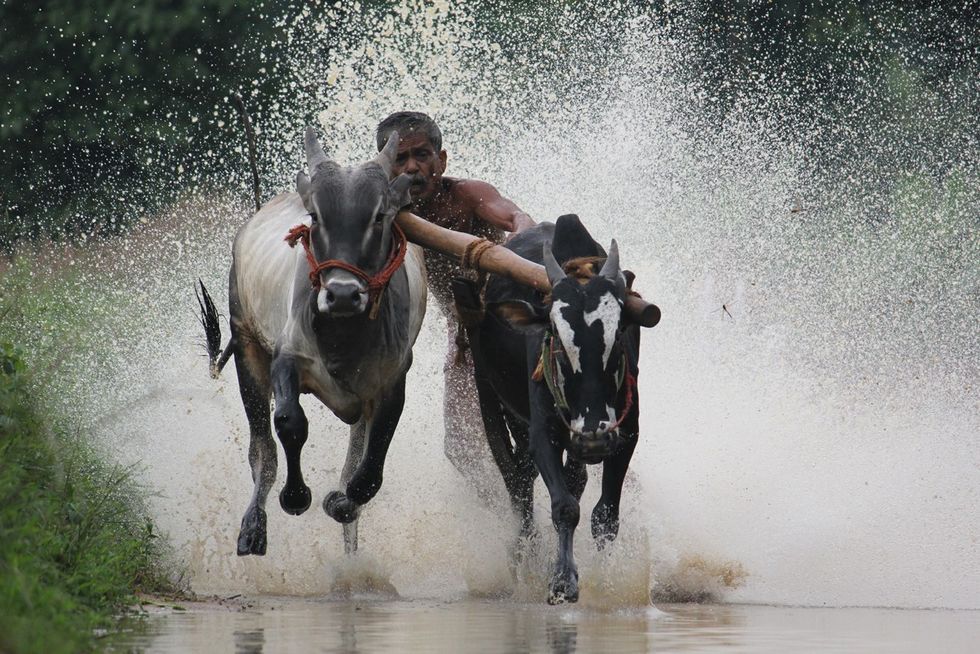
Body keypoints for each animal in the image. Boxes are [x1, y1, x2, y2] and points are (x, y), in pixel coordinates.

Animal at [197, 127, 426, 556]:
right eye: (316, 216)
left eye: (379, 216)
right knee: (261, 450)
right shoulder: (287, 358)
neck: (344, 334)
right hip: (247, 347)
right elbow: (290, 424)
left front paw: (340, 501)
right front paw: (295, 497)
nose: (342, 294)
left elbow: (367, 473)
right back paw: (253, 526)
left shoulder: (391, 382)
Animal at [452, 214, 651, 604]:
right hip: (489, 398)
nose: (593, 439)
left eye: (618, 333)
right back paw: (523, 556)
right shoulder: (542, 434)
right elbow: (565, 507)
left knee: (566, 479)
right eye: (556, 337)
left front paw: (605, 581)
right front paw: (562, 581)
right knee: (517, 484)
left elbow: (605, 516)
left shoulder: (627, 434)